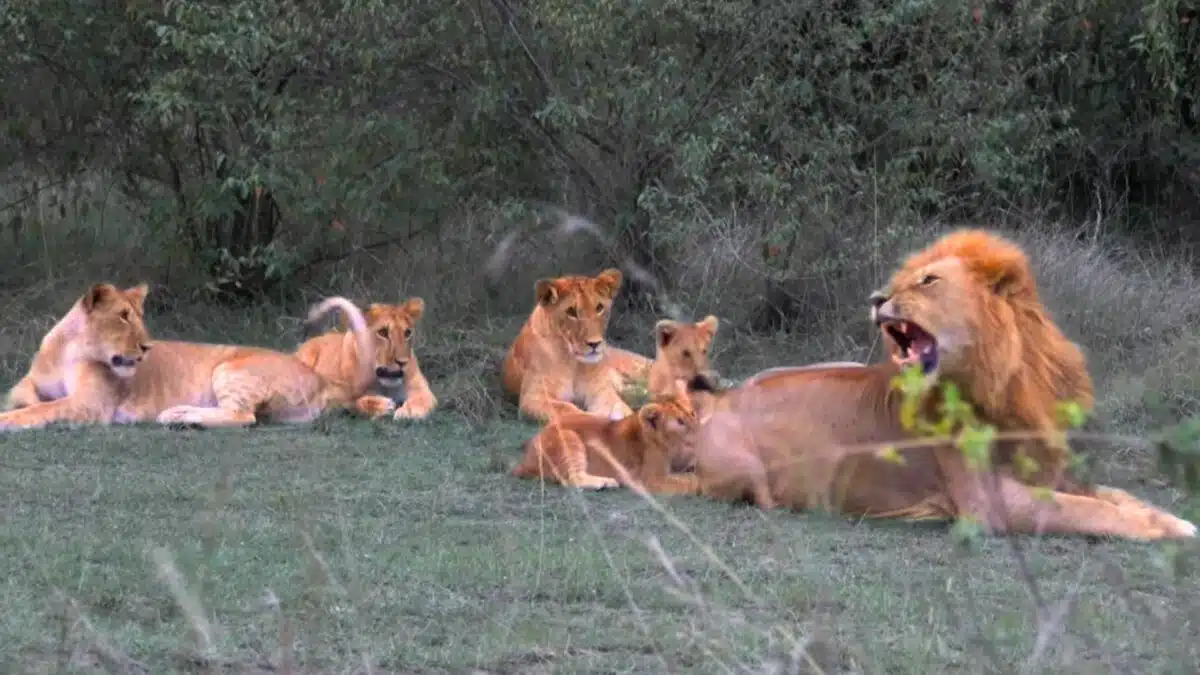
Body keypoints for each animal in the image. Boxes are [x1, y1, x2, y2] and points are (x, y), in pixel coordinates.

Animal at [1, 281, 388, 427]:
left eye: (138, 316)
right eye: (123, 316)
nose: (146, 347)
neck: (68, 349)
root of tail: (318, 376)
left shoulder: (90, 404)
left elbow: (39, 410)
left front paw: (8, 420)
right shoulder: (32, 383)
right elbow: (21, 395)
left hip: (230, 369)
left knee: (242, 416)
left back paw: (180, 418)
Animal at [296, 295, 441, 417]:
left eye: (407, 333)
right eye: (383, 332)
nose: (403, 362)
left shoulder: (421, 389)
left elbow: (421, 399)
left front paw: (409, 411)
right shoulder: (331, 397)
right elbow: (354, 402)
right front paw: (380, 405)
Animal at [501, 266, 652, 420]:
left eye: (599, 308)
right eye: (571, 311)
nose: (594, 344)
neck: (574, 364)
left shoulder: (600, 391)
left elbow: (617, 407)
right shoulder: (533, 398)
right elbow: (569, 410)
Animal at [511, 389, 700, 494]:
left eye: (692, 413)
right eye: (680, 422)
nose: (698, 428)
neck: (676, 445)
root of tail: (524, 461)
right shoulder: (651, 480)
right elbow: (688, 481)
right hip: (568, 437)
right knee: (571, 479)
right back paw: (605, 483)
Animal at [691, 228, 1195, 538]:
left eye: (928, 280)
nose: (876, 298)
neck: (1004, 382)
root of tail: (722, 400)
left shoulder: (1056, 471)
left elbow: (1117, 496)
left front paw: (1176, 522)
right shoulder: (992, 506)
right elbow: (1089, 510)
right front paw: (1156, 530)